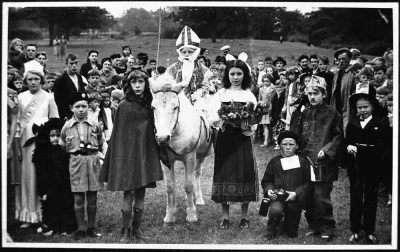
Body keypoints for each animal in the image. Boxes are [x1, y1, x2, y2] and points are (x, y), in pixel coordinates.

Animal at [149, 73, 212, 222]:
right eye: (153, 107)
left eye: (175, 107)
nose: (162, 138)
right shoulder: (166, 160)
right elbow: (170, 186)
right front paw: (170, 214)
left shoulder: (190, 157)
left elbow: (188, 185)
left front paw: (191, 214)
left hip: (200, 156)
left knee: (197, 174)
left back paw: (198, 198)